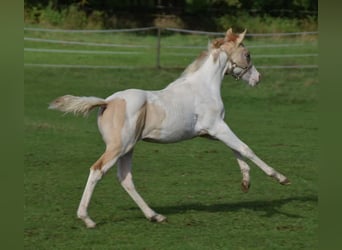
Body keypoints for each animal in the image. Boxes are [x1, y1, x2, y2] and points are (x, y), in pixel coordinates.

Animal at [48, 27, 288, 229]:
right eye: (247, 55)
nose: (258, 78)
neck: (203, 87)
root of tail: (107, 102)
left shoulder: (211, 132)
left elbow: (236, 150)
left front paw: (246, 183)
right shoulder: (217, 127)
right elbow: (245, 148)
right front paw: (280, 177)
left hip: (128, 148)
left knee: (125, 179)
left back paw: (155, 216)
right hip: (118, 147)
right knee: (97, 171)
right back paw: (87, 219)